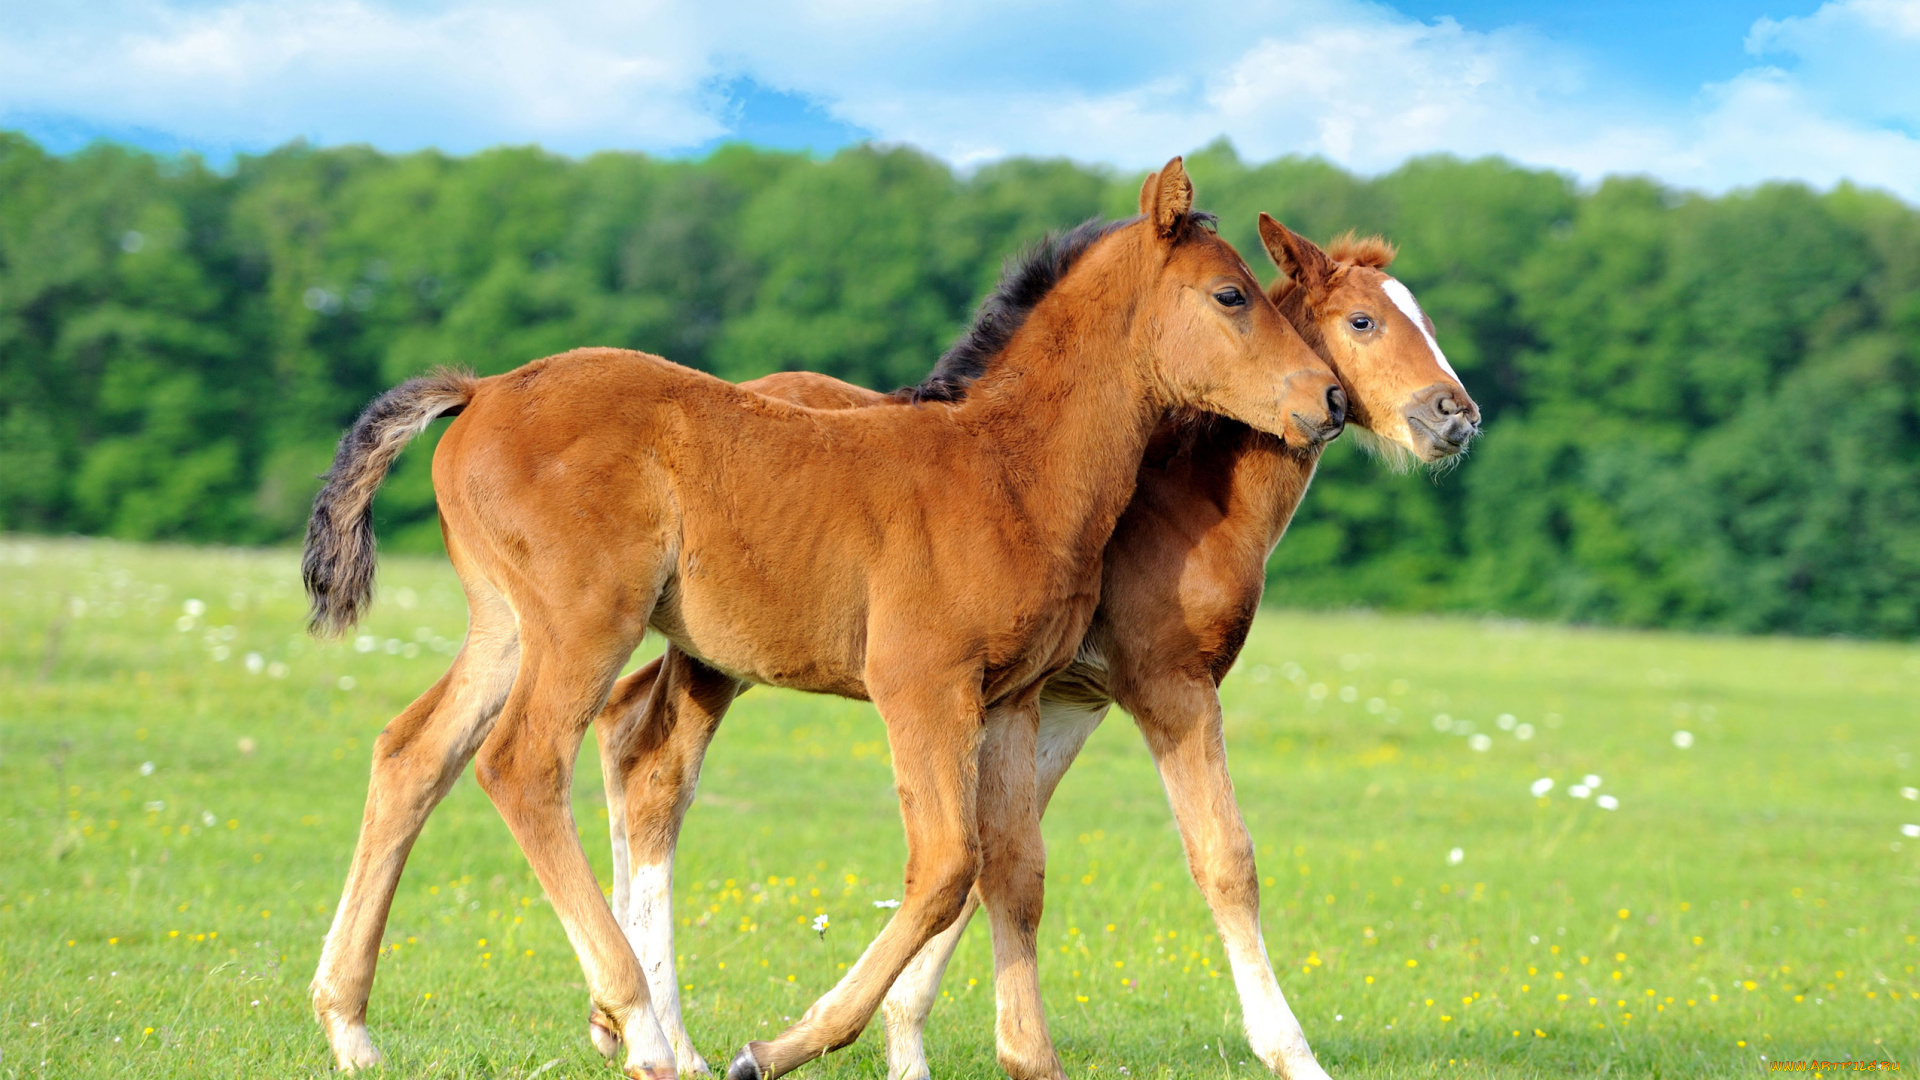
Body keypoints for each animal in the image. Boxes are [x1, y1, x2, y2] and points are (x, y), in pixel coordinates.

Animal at [300, 159, 1347, 1080]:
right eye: (1231, 296)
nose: (1330, 398)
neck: (1009, 468)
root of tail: (479, 391)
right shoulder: (920, 683)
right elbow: (945, 865)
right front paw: (776, 1048)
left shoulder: (1012, 698)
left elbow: (1013, 870)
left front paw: (1029, 1057)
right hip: (584, 623)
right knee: (520, 765)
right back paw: (640, 1029)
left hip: (505, 625)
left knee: (413, 755)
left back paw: (351, 1026)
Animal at [586, 215, 1479, 1080]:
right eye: (1363, 321)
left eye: (1430, 323)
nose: (1455, 415)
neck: (1177, 500)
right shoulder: (1167, 685)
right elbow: (1223, 860)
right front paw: (1293, 1054)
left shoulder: (1063, 703)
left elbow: (998, 860)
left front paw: (907, 1042)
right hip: (721, 657)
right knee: (658, 770)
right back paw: (669, 1039)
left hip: (712, 651)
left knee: (628, 732)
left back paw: (620, 1022)